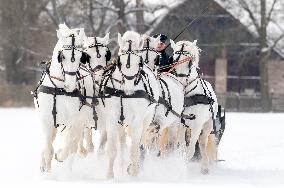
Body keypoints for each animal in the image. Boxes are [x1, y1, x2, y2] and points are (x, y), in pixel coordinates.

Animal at [33, 23, 86, 172]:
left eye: (81, 57)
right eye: (62, 56)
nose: (70, 85)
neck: (59, 88)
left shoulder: (73, 120)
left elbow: (68, 147)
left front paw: (60, 155)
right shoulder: (46, 121)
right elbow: (48, 150)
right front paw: (48, 172)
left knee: (72, 146)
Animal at [98, 31, 159, 178]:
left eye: (139, 63)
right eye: (120, 61)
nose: (129, 89)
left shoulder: (137, 121)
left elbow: (135, 149)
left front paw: (133, 172)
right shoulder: (112, 118)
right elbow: (112, 149)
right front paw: (110, 175)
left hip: (146, 120)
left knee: (140, 143)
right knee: (122, 143)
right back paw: (121, 165)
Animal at [170, 39, 219, 174]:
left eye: (189, 61)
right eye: (174, 58)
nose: (180, 82)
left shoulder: (197, 125)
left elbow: (191, 150)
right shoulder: (179, 124)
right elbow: (181, 146)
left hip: (207, 125)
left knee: (202, 143)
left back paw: (205, 166)